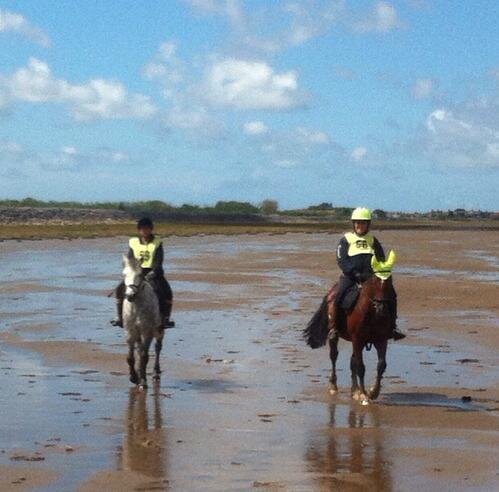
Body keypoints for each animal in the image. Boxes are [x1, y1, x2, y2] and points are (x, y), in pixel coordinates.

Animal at [122, 256, 165, 390]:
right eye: (124, 274)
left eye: (140, 275)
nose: (130, 295)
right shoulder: (130, 331)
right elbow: (130, 357)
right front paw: (134, 377)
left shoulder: (147, 332)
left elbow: (144, 356)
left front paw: (143, 381)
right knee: (139, 349)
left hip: (159, 330)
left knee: (158, 348)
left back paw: (155, 373)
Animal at [302, 274, 396, 406]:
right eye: (374, 281)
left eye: (389, 282)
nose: (381, 308)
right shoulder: (358, 339)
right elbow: (361, 367)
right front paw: (364, 395)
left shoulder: (381, 340)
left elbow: (381, 365)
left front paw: (373, 392)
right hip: (338, 337)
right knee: (334, 356)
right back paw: (334, 386)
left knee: (353, 362)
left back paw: (354, 391)